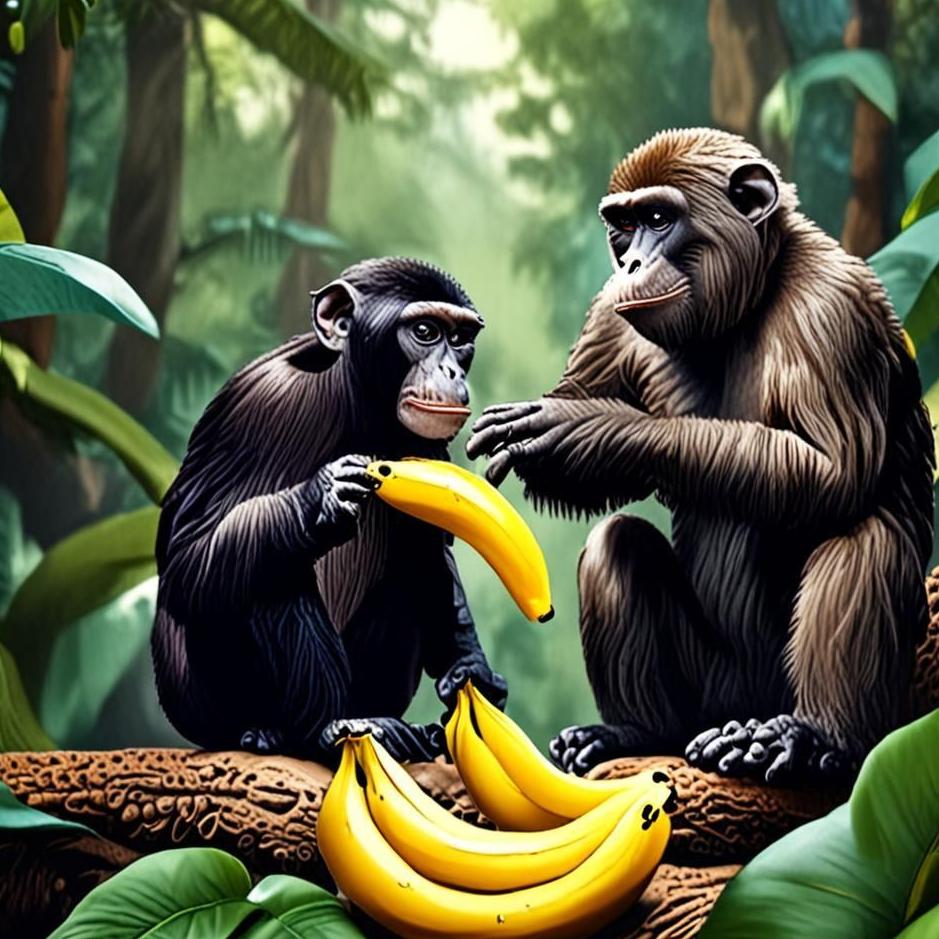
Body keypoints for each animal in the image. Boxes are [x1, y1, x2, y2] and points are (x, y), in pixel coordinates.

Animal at [152, 257, 507, 764]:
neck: (354, 394)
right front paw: (320, 499)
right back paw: (320, 728)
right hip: (197, 701)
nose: (452, 370)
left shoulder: (425, 448)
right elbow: (187, 556)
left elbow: (431, 550)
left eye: (459, 339)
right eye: (424, 331)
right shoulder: (258, 407)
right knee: (267, 568)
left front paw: (468, 669)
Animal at [466, 128, 935, 784]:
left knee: (860, 532)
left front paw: (586, 427)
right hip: (712, 693)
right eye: (625, 225)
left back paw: (811, 734)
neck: (749, 297)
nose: (632, 262)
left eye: (660, 219)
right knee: (615, 546)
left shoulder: (833, 307)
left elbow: (832, 470)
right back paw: (634, 730)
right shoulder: (608, 314)